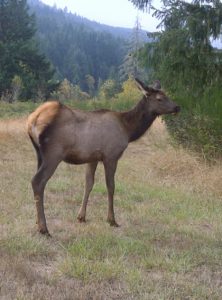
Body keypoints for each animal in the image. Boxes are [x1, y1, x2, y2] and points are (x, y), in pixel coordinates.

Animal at [27, 78, 180, 236]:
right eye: (159, 98)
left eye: (166, 94)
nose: (177, 107)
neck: (128, 130)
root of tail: (32, 120)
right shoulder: (111, 155)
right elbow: (111, 186)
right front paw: (112, 220)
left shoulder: (92, 157)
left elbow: (88, 184)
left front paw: (81, 217)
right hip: (54, 153)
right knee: (37, 181)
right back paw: (44, 228)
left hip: (39, 154)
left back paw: (38, 223)